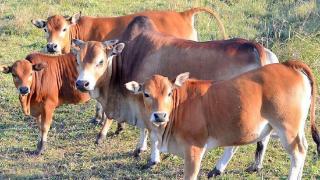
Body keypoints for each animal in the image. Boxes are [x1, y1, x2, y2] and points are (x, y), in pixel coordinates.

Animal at [71, 16, 278, 169]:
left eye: (100, 61)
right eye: (78, 61)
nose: (82, 83)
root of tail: (258, 50)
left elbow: (150, 130)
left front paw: (151, 158)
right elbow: (144, 129)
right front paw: (141, 149)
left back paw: (218, 168)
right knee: (263, 138)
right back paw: (255, 166)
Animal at [125, 60, 320, 180]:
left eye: (169, 93)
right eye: (146, 94)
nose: (160, 115)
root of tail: (288, 64)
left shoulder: (194, 148)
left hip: (287, 128)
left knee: (298, 153)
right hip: (296, 129)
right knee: (304, 148)